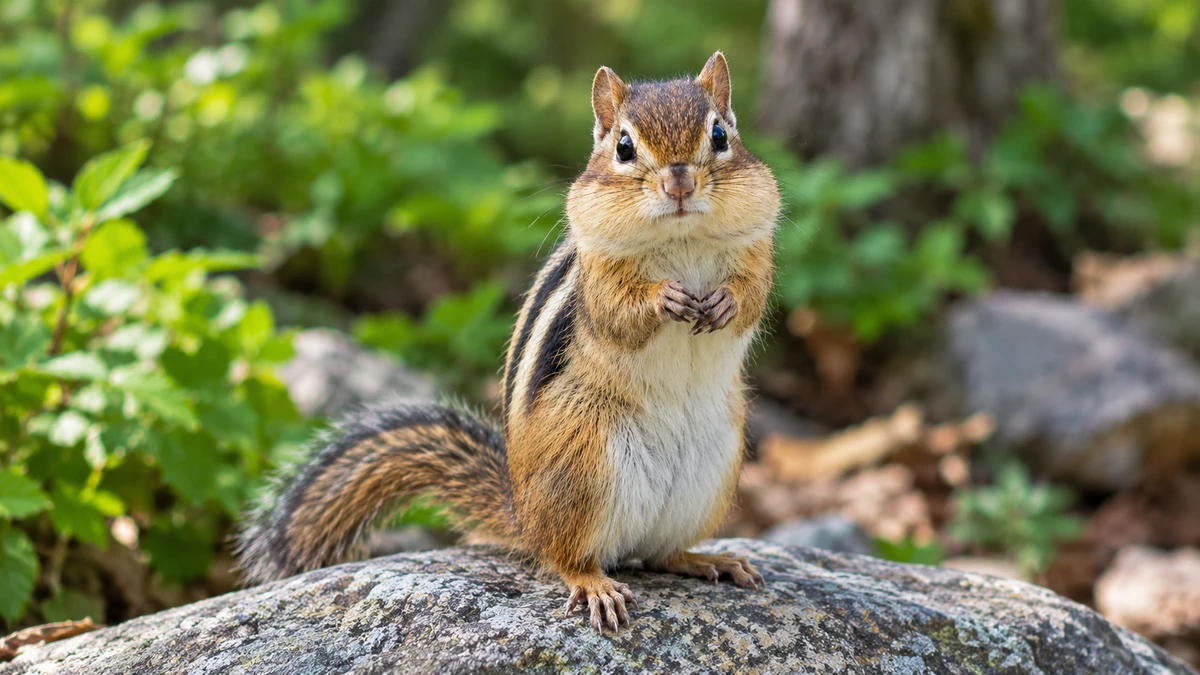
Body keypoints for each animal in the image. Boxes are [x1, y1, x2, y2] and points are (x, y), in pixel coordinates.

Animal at [236, 52, 780, 634]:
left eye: (720, 135)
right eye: (624, 147)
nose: (679, 183)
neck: (682, 236)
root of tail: (522, 512)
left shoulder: (758, 250)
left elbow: (753, 296)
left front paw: (722, 303)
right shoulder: (599, 277)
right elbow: (619, 314)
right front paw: (665, 300)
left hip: (714, 469)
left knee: (661, 554)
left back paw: (709, 560)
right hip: (585, 463)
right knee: (565, 557)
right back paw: (594, 584)